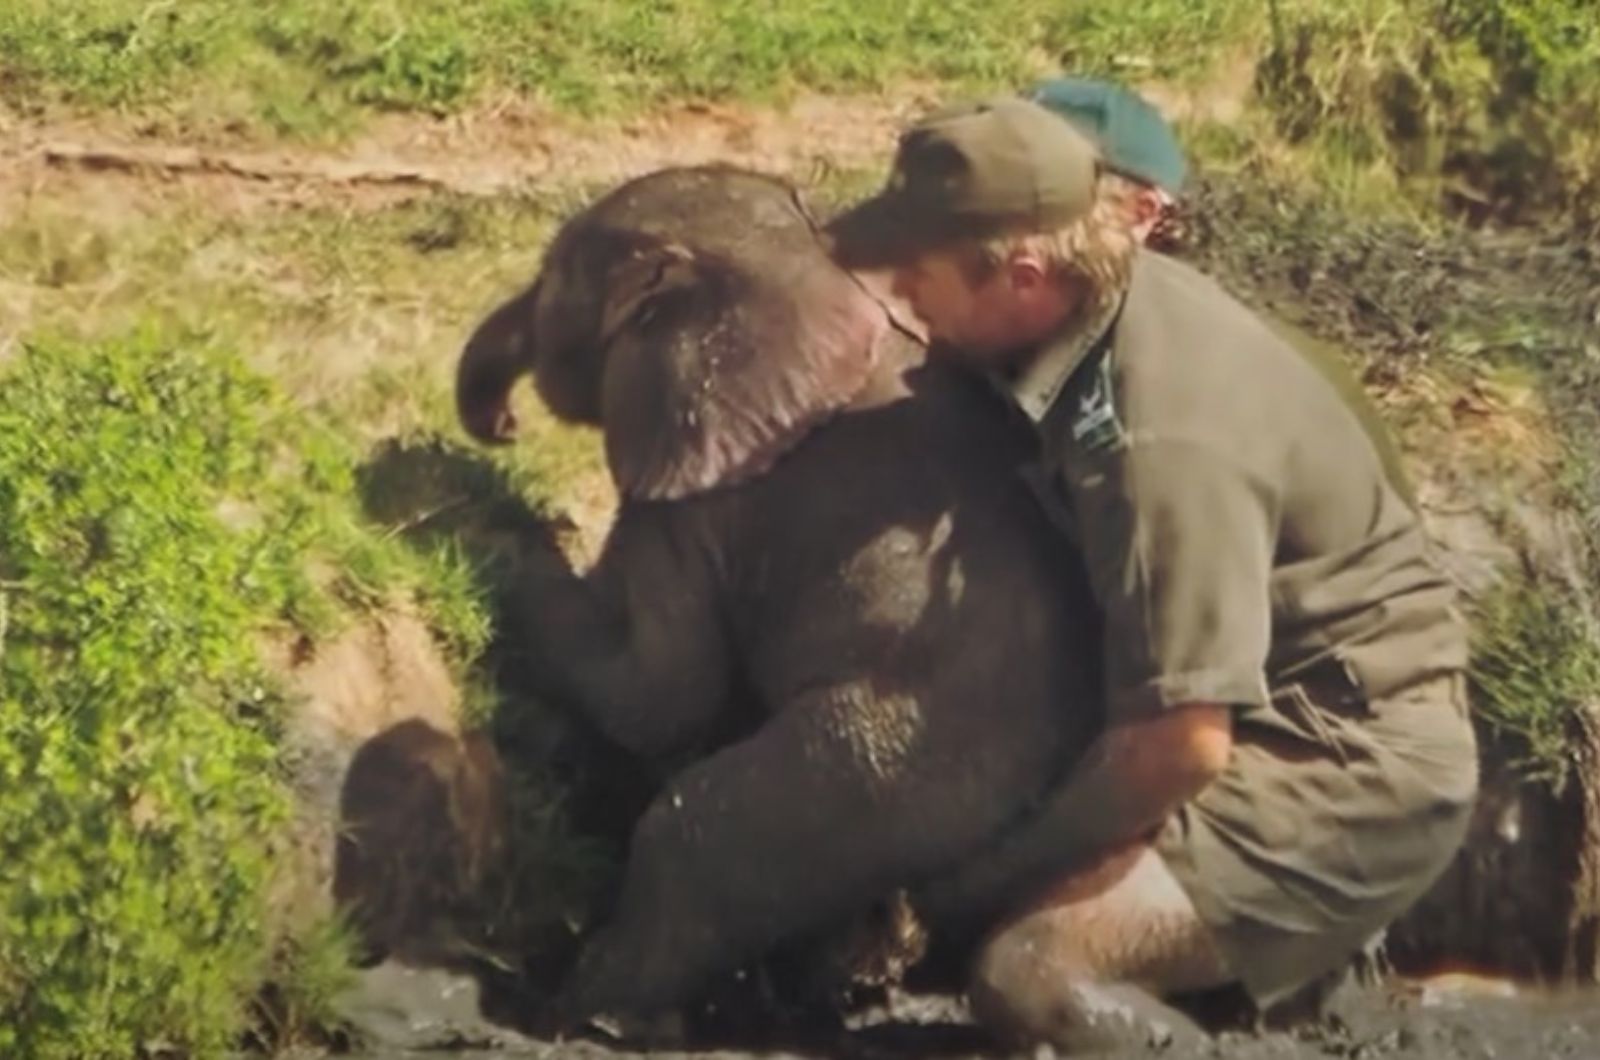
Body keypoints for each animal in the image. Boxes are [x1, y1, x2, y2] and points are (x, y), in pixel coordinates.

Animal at [451, 166, 1100, 1037]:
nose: (505, 426)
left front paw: (490, 537)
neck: (808, 263)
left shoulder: (698, 499)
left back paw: (586, 1010)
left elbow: (659, 695)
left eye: (552, 280)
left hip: (894, 763)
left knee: (694, 831)